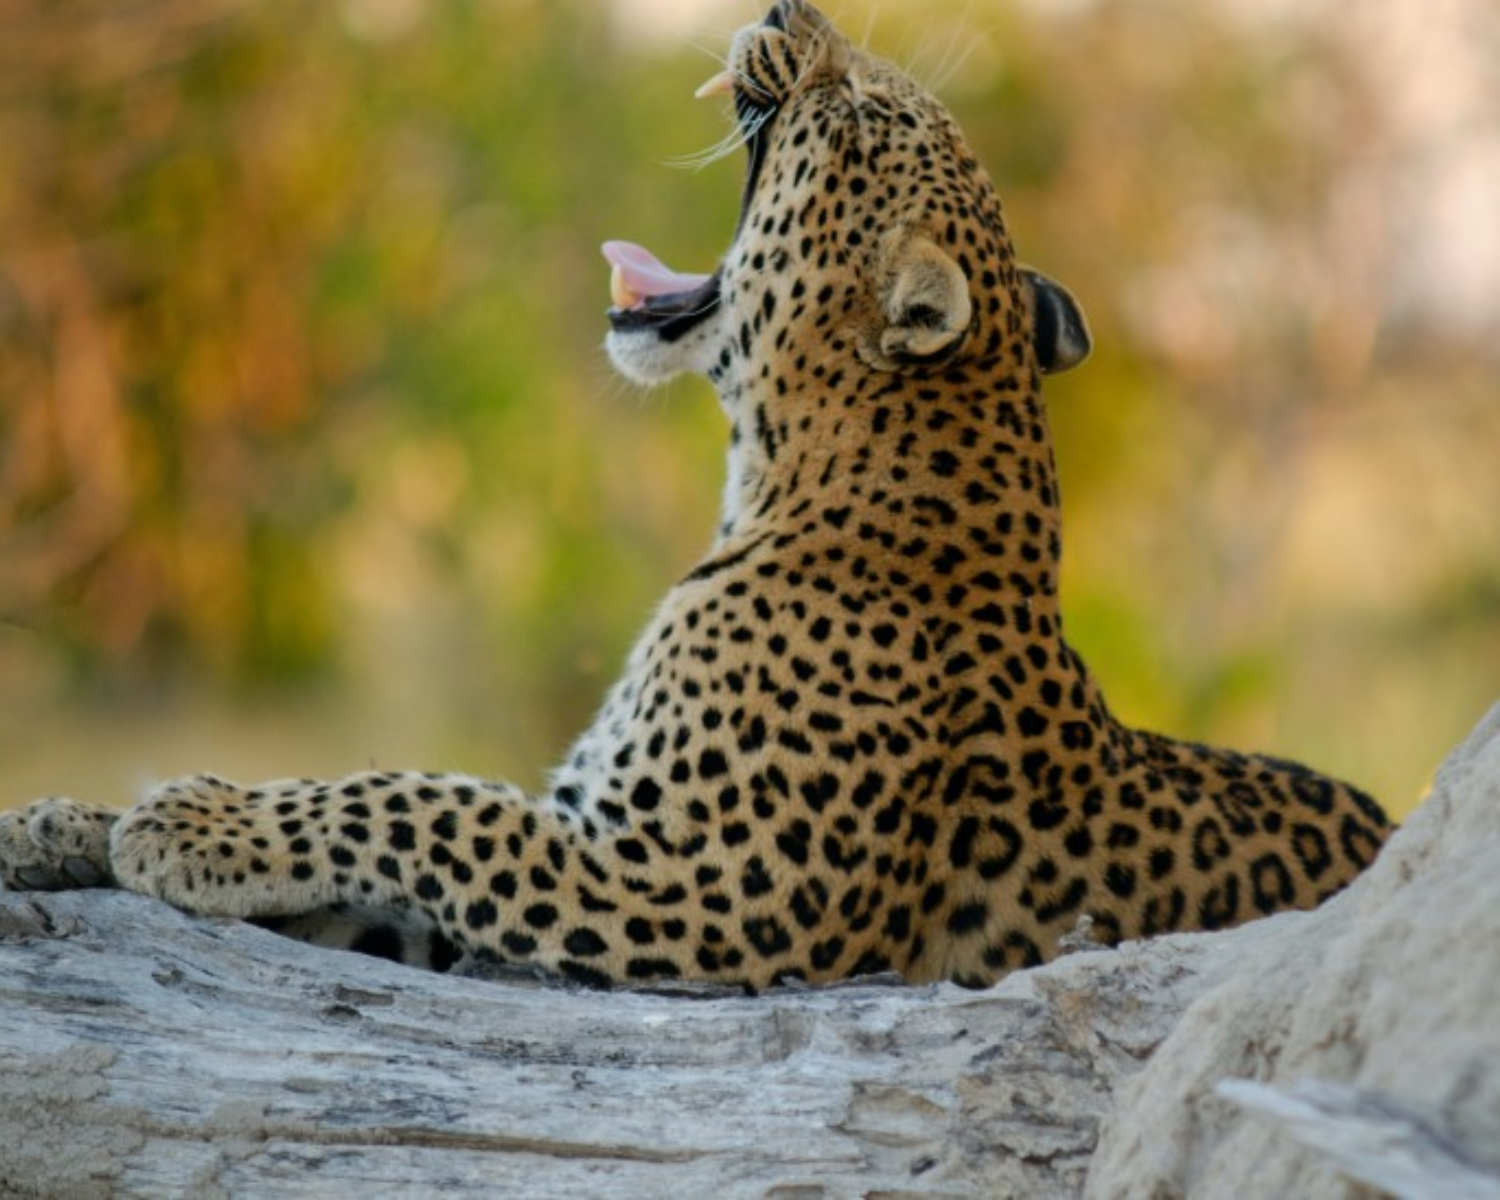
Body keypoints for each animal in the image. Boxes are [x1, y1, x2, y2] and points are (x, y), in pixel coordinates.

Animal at [0, 0, 1392, 990]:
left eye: (861, 109)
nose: (787, 0)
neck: (776, 480)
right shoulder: (582, 841)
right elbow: (396, 849)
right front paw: (62, 823)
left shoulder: (697, 893)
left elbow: (431, 800)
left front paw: (192, 817)